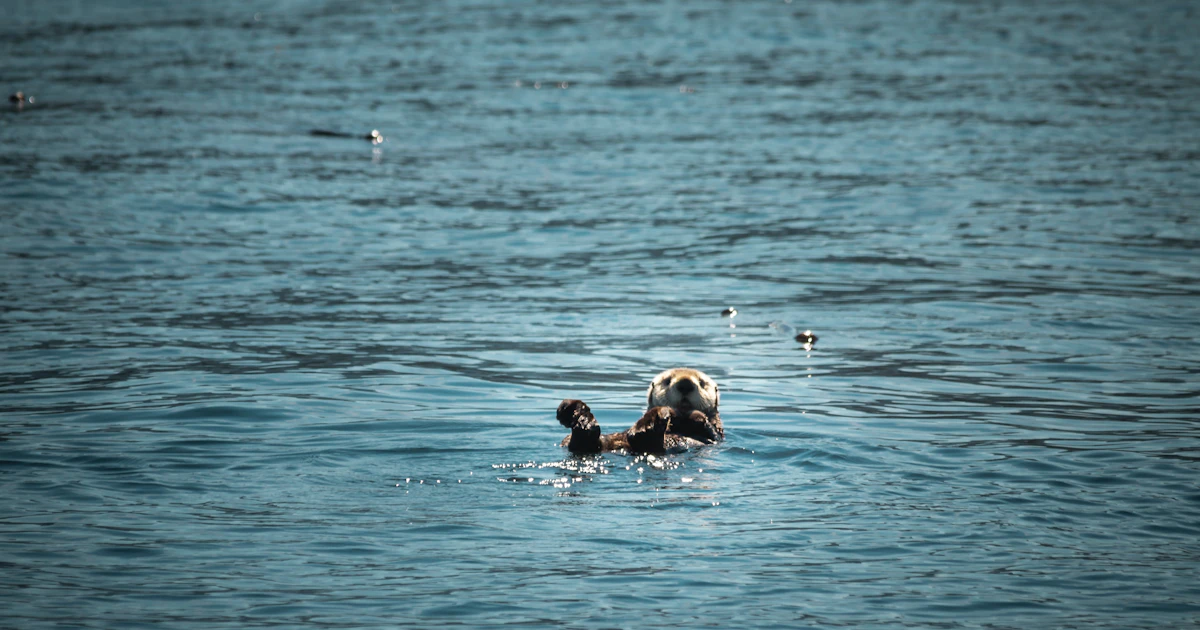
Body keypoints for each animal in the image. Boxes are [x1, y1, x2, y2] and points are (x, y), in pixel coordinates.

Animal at [557, 368, 724, 454]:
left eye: (702, 383)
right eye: (667, 381)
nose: (685, 384)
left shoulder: (717, 434)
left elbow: (710, 430)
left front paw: (694, 416)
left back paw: (650, 423)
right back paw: (576, 412)